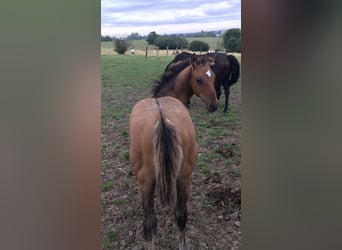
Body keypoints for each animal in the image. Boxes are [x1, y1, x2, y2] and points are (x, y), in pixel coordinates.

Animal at [130, 53, 218, 249]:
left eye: (214, 77)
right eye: (199, 79)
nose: (214, 105)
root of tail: (162, 119)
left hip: (147, 182)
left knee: (150, 223)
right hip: (183, 177)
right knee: (179, 216)